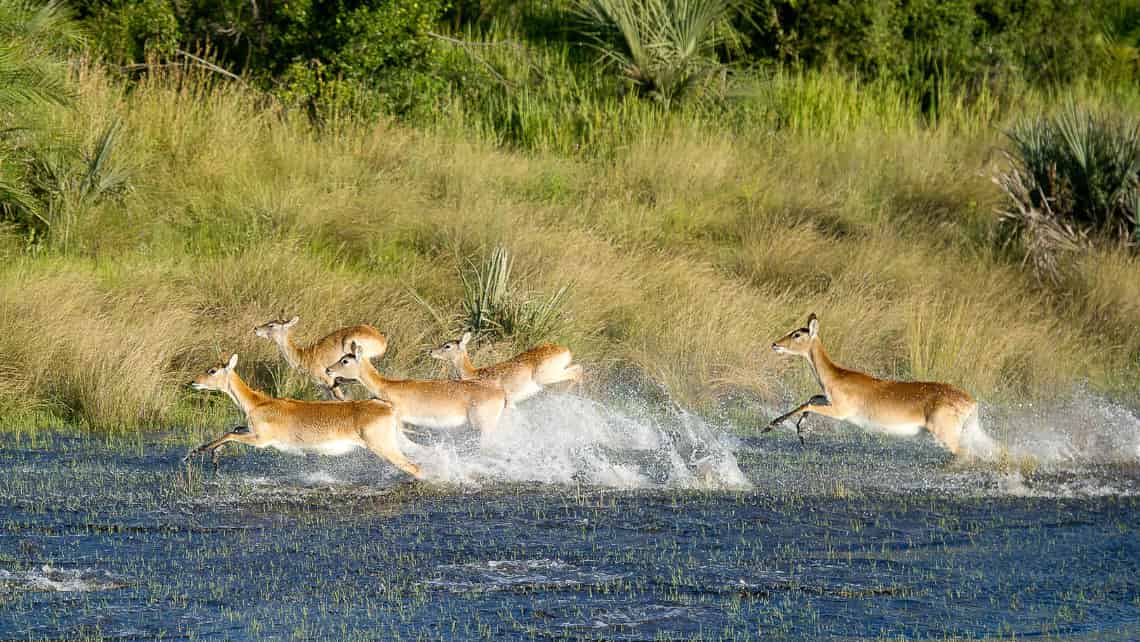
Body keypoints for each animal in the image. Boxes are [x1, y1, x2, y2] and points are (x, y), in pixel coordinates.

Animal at [186, 353, 424, 478]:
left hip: (383, 447)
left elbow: (230, 435)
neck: (257, 403)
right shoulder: (251, 430)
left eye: (212, 370)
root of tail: (387, 407)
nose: (192, 382)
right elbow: (233, 429)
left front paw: (195, 453)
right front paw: (213, 457)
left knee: (415, 467)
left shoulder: (261, 439)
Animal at [254, 314, 387, 399]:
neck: (304, 356)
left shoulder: (330, 382)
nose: (256, 328)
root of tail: (381, 338)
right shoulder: (323, 387)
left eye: (271, 325)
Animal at [428, 335, 583, 403]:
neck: (474, 373)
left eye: (447, 346)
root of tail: (566, 350)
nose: (430, 351)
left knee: (577, 372)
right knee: (579, 368)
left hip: (545, 376)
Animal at [766, 312, 998, 456]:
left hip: (945, 434)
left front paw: (771, 425)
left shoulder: (841, 411)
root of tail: (972, 402)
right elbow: (811, 398)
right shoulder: (828, 399)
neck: (837, 377)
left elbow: (809, 403)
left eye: (797, 334)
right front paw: (799, 432)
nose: (775, 344)